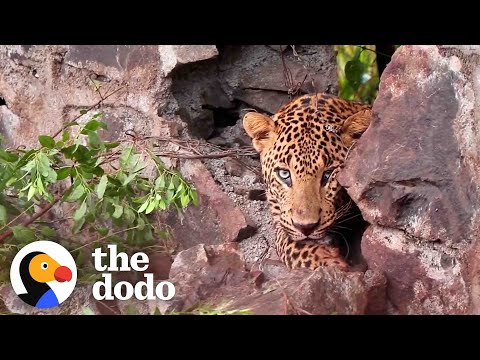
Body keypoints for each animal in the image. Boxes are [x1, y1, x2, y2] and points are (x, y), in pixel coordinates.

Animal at [244, 93, 372, 270]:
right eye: (284, 174)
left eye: (328, 174)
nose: (306, 227)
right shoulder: (280, 220)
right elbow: (289, 245)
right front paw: (328, 260)